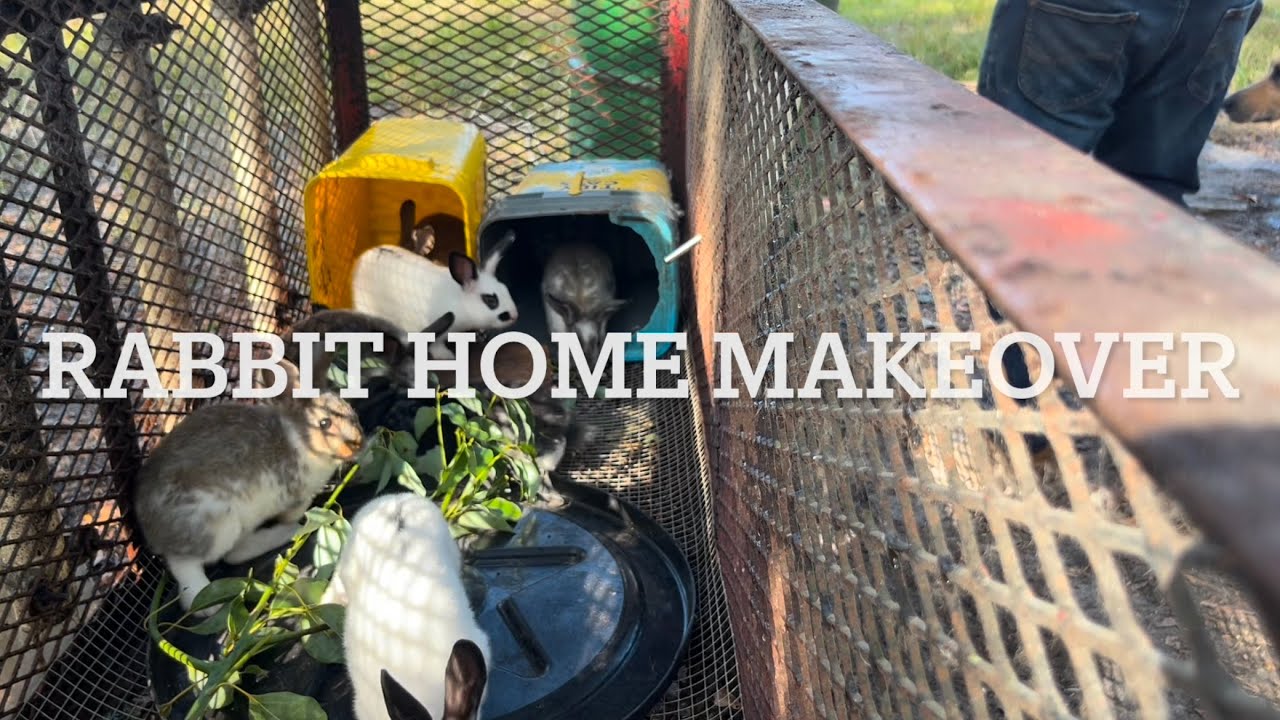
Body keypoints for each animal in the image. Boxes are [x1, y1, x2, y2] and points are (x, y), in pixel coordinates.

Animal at [130, 352, 365, 615]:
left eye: (350, 410)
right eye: (325, 424)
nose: (358, 443)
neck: (298, 439)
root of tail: (155, 535)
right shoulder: (297, 500)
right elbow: (292, 514)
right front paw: (300, 523)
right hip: (221, 523)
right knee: (206, 561)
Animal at [352, 216, 519, 361]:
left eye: (506, 289)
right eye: (490, 300)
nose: (515, 315)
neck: (459, 301)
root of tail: (362, 259)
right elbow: (435, 346)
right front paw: (447, 356)